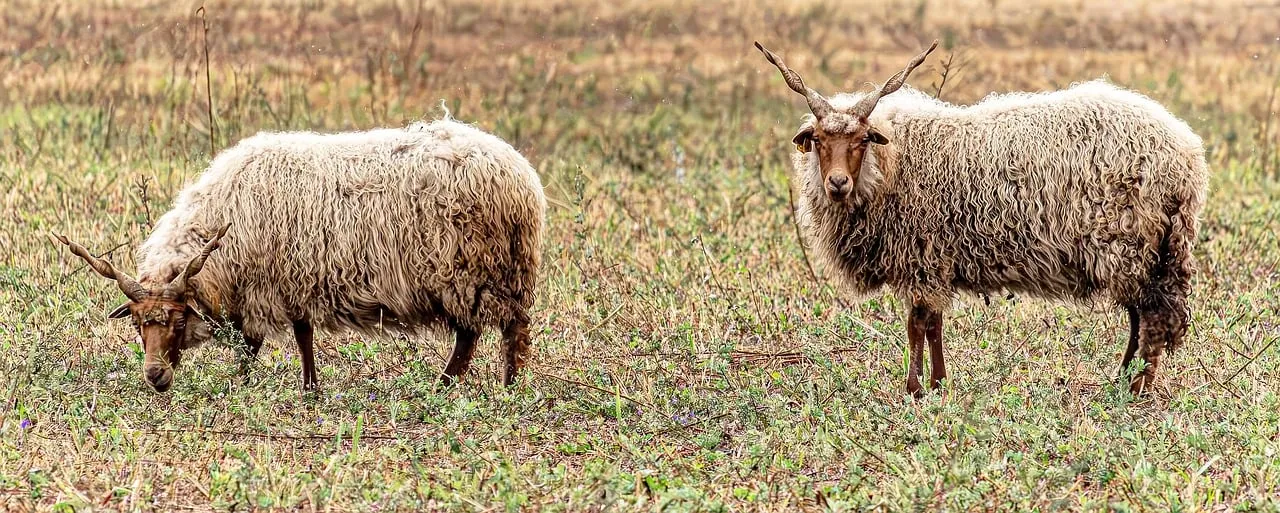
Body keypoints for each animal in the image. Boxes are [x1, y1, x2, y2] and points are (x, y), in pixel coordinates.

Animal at [53, 116, 546, 393]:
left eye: (176, 321)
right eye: (138, 324)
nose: (155, 378)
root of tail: (520, 171)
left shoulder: (268, 283)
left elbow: (256, 343)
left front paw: (241, 384)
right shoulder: (294, 281)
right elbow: (303, 334)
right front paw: (310, 388)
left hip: (480, 272)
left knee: (504, 331)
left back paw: (501, 387)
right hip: (472, 276)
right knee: (473, 333)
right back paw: (452, 385)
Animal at [754, 40, 1209, 397]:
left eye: (863, 140)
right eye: (818, 140)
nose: (837, 183)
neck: (893, 163)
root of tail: (1186, 152)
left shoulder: (922, 255)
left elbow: (917, 323)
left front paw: (915, 389)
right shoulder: (934, 258)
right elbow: (933, 324)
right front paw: (938, 384)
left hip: (1130, 242)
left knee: (1150, 316)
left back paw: (1137, 386)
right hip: (1144, 248)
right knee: (1141, 316)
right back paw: (1124, 378)